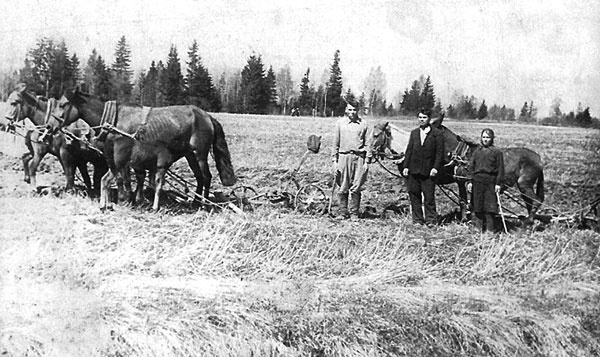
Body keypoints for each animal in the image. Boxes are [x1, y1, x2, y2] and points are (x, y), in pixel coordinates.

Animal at [54, 88, 237, 210]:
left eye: (63, 104)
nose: (51, 126)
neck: (116, 118)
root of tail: (207, 116)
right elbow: (134, 177)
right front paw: (134, 198)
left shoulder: (126, 156)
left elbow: (126, 178)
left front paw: (127, 198)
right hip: (190, 155)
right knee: (199, 177)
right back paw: (195, 202)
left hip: (200, 154)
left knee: (206, 177)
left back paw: (204, 204)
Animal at [370, 118, 544, 221]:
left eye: (376, 135)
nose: (369, 153)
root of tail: (539, 158)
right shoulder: (460, 182)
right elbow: (462, 201)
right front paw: (463, 219)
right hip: (523, 187)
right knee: (530, 203)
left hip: (525, 184)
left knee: (536, 201)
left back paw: (528, 223)